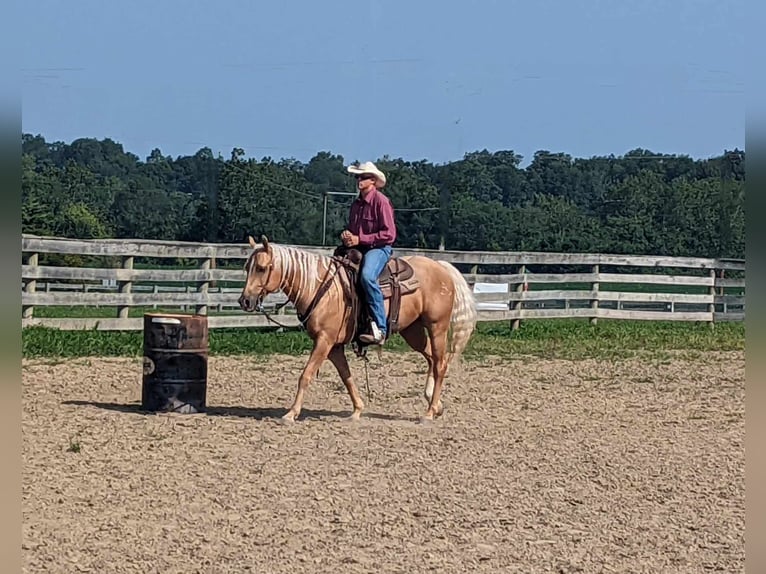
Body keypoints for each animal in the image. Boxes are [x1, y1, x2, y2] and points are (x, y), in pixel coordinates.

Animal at [240, 236, 480, 426]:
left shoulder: (324, 341)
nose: (245, 301)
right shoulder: (334, 347)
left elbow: (306, 375)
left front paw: (291, 414)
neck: (321, 287)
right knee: (432, 358)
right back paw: (435, 404)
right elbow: (346, 377)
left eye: (261, 268)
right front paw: (357, 411)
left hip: (437, 326)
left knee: (440, 364)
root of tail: (440, 266)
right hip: (413, 331)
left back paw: (428, 413)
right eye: (247, 267)